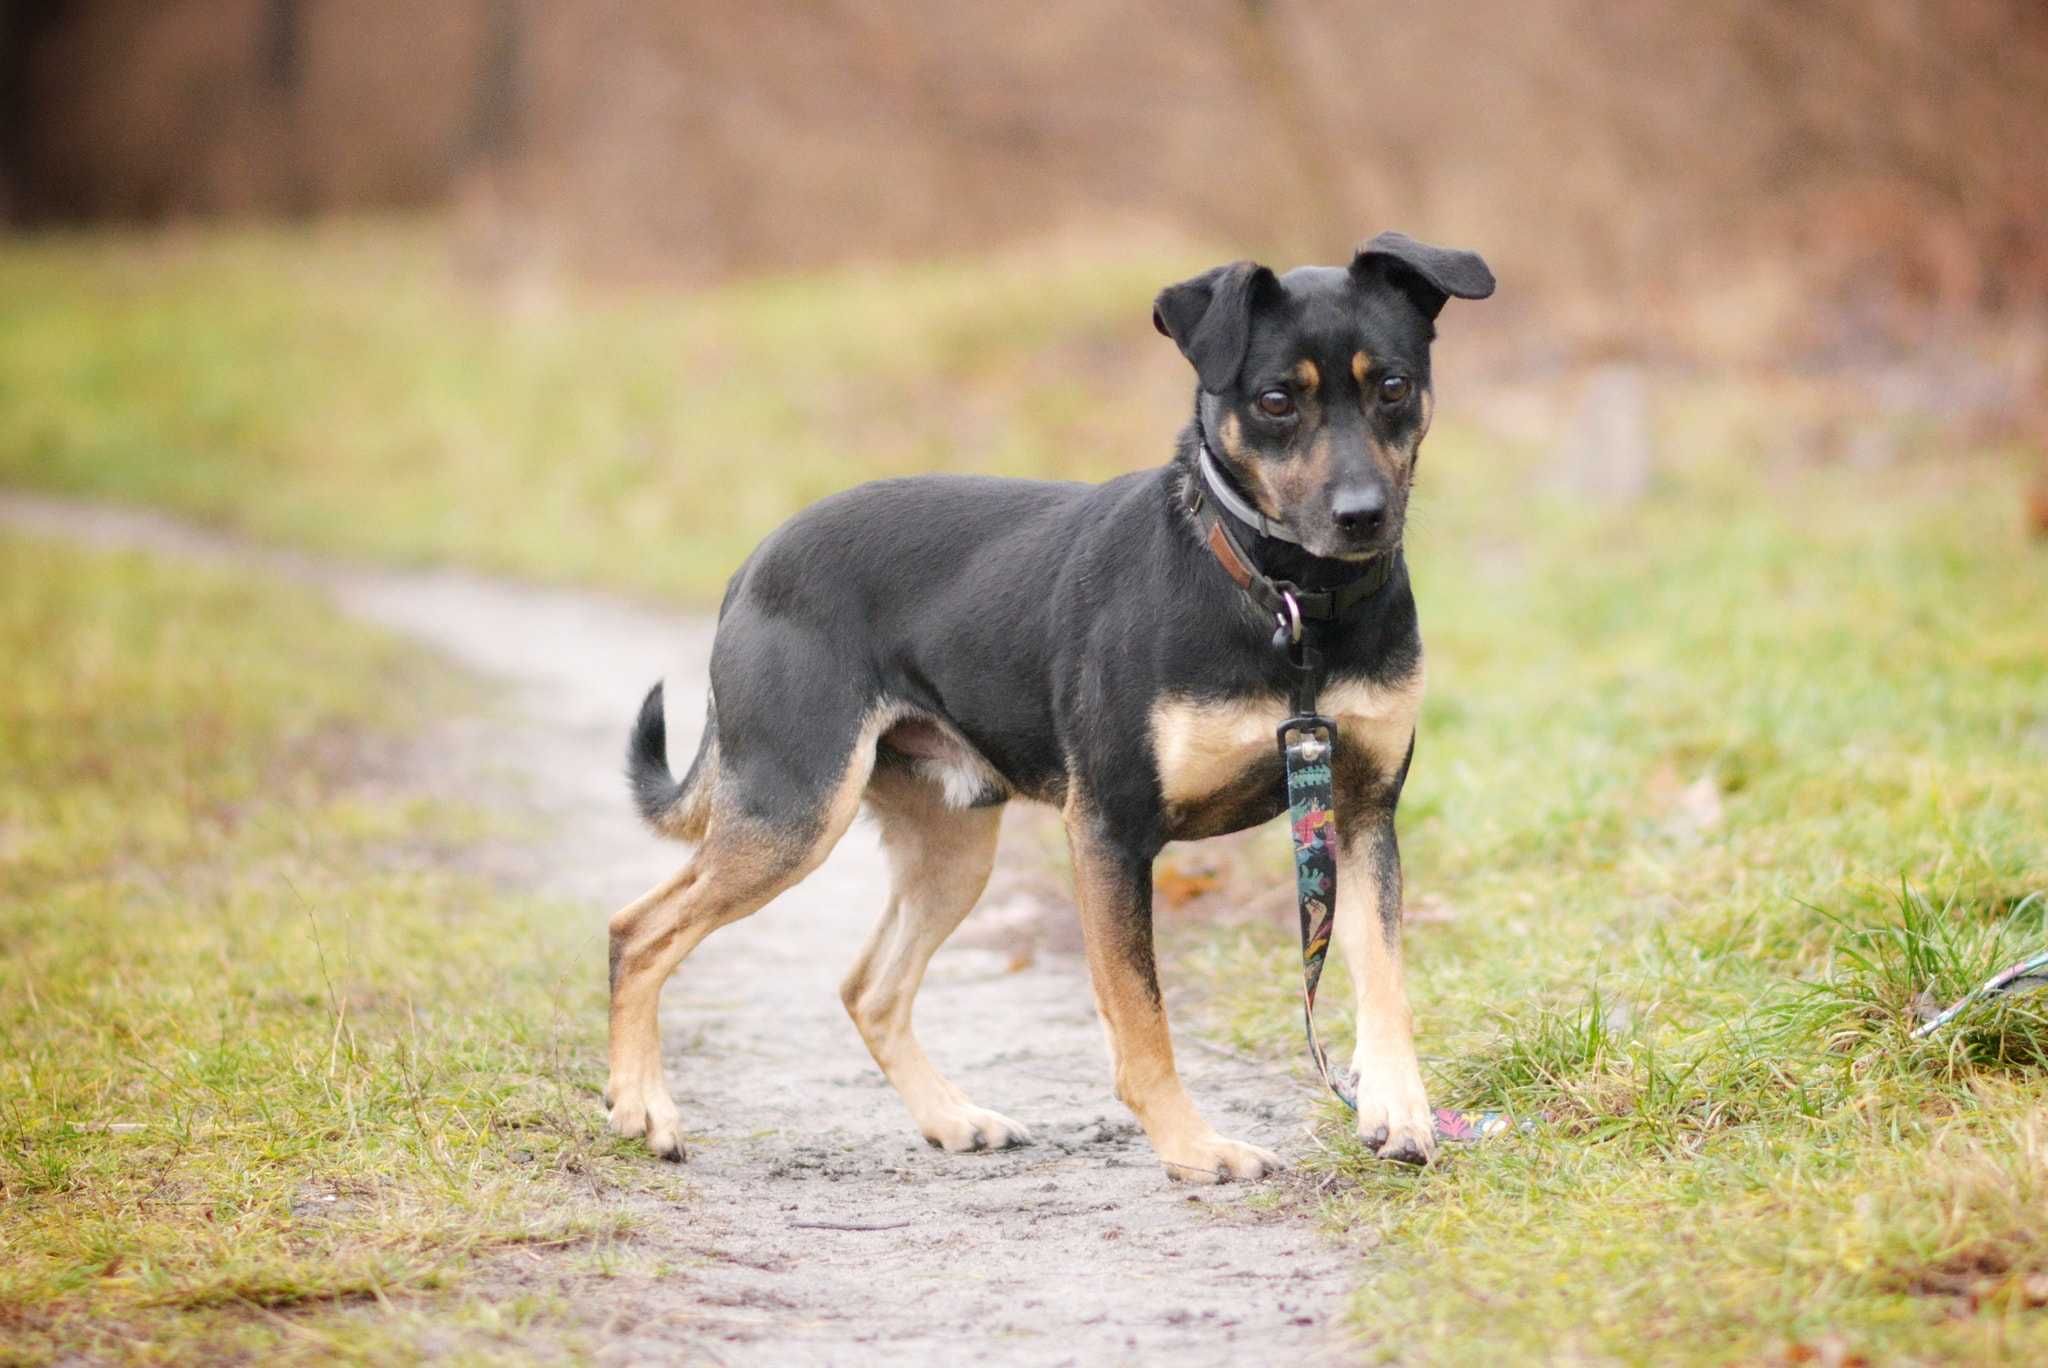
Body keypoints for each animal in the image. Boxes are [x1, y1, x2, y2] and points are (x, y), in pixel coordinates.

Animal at [602, 229, 1490, 1179]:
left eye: (1392, 386)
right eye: (1277, 400)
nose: (1364, 517)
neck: (1286, 599)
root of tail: (752, 566)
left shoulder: (1357, 811)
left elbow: (1384, 976)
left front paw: (1399, 1111)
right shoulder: (1111, 828)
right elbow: (1141, 1017)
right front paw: (1193, 1146)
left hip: (951, 849)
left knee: (868, 987)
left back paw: (953, 1118)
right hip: (794, 811)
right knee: (638, 931)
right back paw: (643, 1107)